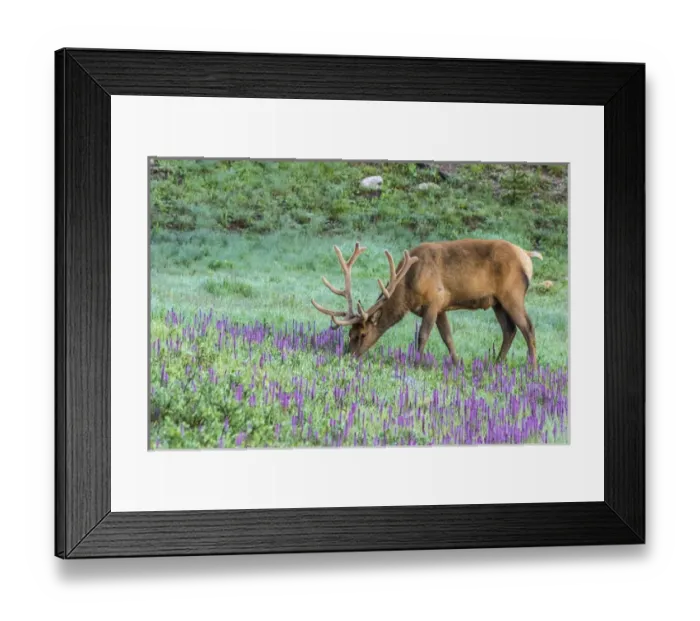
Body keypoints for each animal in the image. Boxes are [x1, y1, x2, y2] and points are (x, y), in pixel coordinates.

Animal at [310, 239, 543, 366]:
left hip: (512, 294)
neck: (407, 288)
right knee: (509, 330)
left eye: (363, 334)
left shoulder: (434, 300)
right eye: (350, 333)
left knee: (528, 327)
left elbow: (423, 335)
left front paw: (417, 362)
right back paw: (497, 364)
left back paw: (531, 368)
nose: (348, 356)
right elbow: (448, 337)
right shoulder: (441, 307)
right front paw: (456, 363)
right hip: (497, 302)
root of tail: (527, 256)